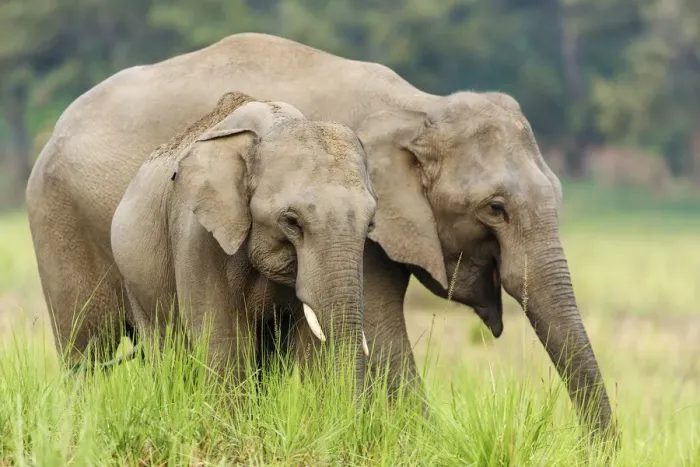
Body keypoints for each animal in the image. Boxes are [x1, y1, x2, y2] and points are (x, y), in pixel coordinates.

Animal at [25, 32, 616, 442]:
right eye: (496, 209)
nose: (593, 447)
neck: (418, 107)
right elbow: (381, 333)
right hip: (59, 221)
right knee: (88, 351)